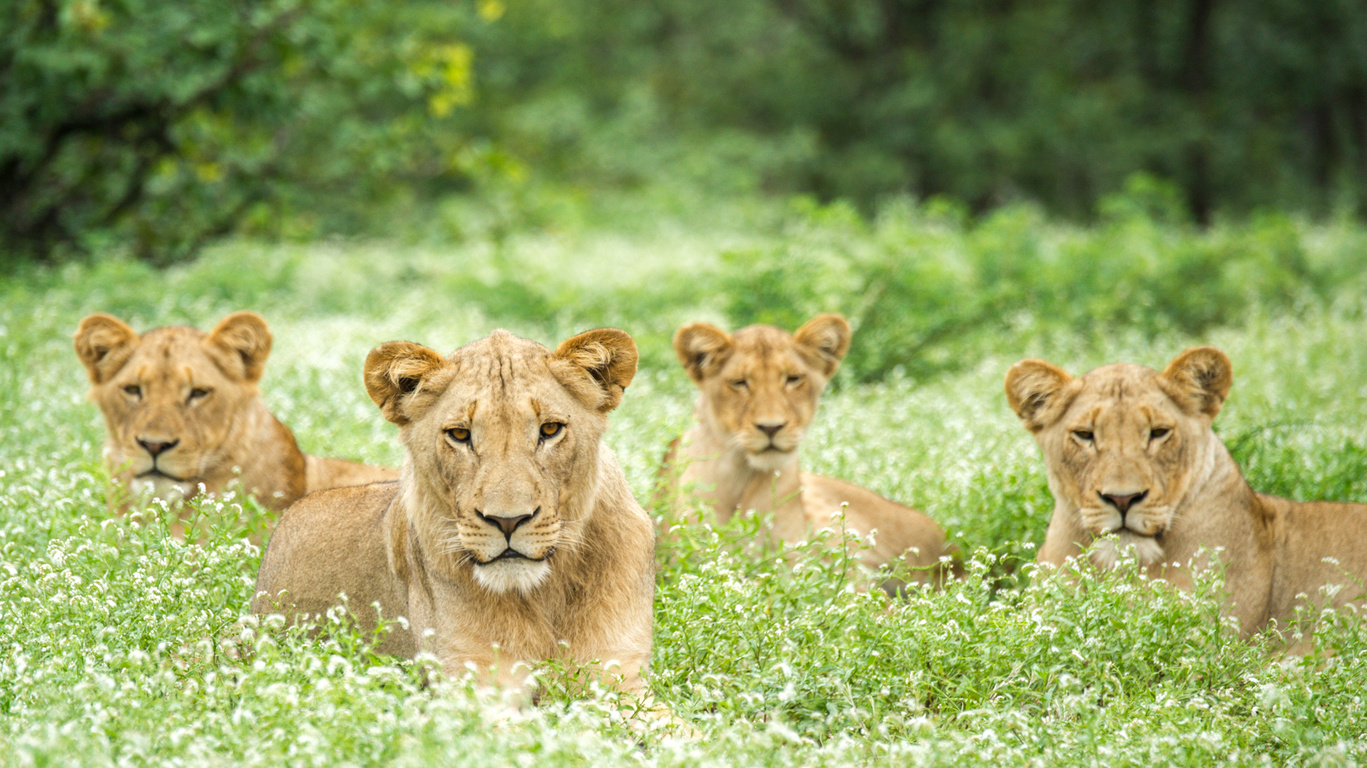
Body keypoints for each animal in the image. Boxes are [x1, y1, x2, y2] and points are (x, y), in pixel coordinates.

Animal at [256, 325, 661, 691]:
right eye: (460, 434)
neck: (541, 595)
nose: (508, 521)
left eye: (549, 430)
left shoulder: (619, 678)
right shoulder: (472, 687)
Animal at [656, 311, 956, 584]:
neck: (744, 477)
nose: (771, 427)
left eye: (793, 379)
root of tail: (947, 545)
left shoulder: (798, 565)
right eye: (739, 382)